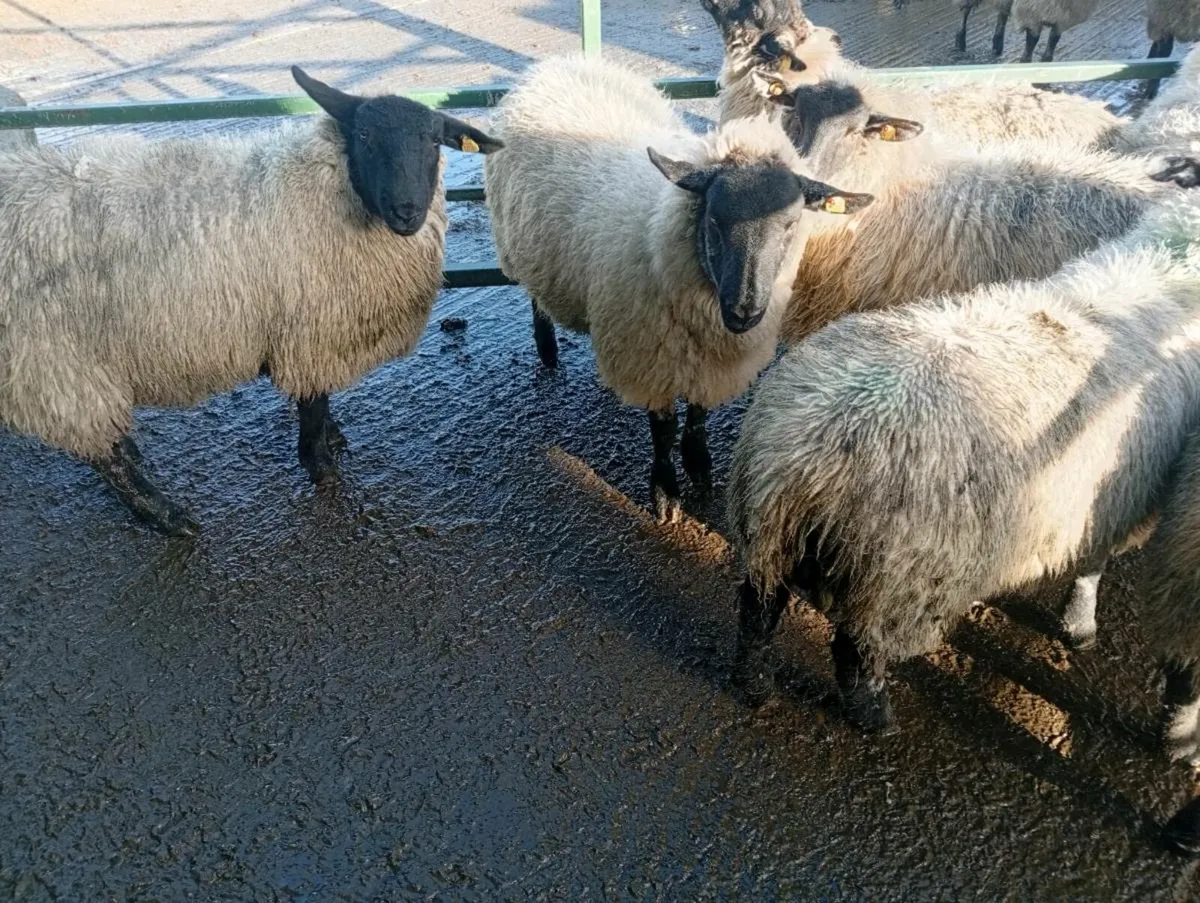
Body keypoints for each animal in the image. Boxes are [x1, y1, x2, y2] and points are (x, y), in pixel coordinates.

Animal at [0, 66, 503, 535]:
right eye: (363, 137)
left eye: (434, 142)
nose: (406, 211)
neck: (327, 189)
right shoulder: (311, 332)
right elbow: (312, 405)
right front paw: (323, 470)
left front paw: (333, 436)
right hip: (56, 361)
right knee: (105, 457)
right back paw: (166, 516)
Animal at [483, 54, 871, 524]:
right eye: (714, 219)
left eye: (792, 223)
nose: (744, 310)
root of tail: (561, 62)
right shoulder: (652, 353)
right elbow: (663, 429)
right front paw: (666, 493)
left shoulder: (705, 358)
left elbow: (699, 414)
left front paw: (700, 469)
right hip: (518, 244)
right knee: (535, 298)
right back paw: (547, 349)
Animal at [726, 184, 1200, 732]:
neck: (1169, 269)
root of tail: (806, 454)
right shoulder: (1122, 494)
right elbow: (1093, 564)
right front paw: (1081, 625)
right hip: (896, 575)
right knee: (855, 649)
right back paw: (875, 716)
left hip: (770, 531)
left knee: (758, 610)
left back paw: (755, 686)